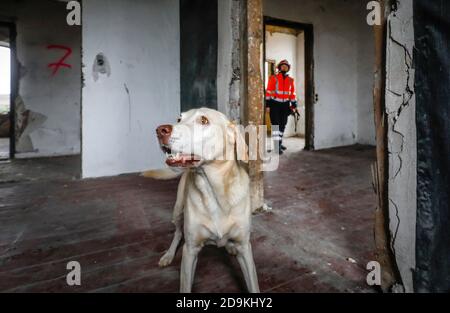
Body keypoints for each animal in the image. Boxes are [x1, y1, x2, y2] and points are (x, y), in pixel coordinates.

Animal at [146, 107, 258, 292]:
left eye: (204, 121)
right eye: (179, 119)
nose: (160, 130)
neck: (213, 191)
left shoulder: (245, 247)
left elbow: (254, 285)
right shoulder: (190, 251)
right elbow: (185, 285)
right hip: (177, 211)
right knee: (177, 233)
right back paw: (168, 255)